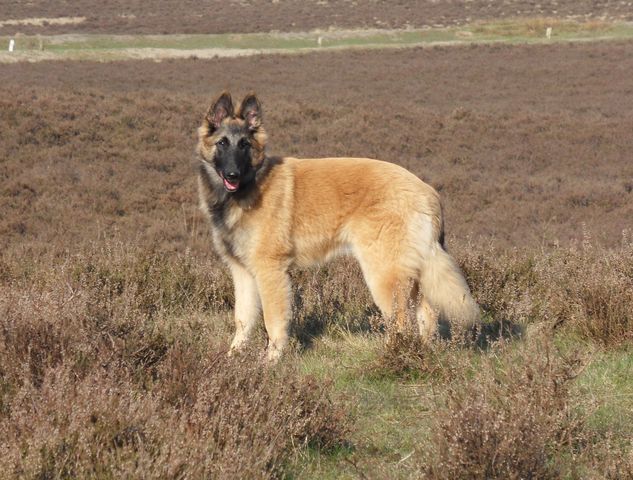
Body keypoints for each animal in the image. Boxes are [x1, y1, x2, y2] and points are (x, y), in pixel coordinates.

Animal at [196, 91, 479, 360]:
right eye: (222, 143)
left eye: (244, 145)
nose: (232, 175)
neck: (252, 185)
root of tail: (428, 192)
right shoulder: (242, 272)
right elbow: (242, 320)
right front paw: (232, 358)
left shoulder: (270, 272)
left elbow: (273, 321)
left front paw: (270, 361)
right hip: (410, 273)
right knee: (426, 315)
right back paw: (421, 353)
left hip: (383, 274)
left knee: (400, 323)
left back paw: (392, 358)